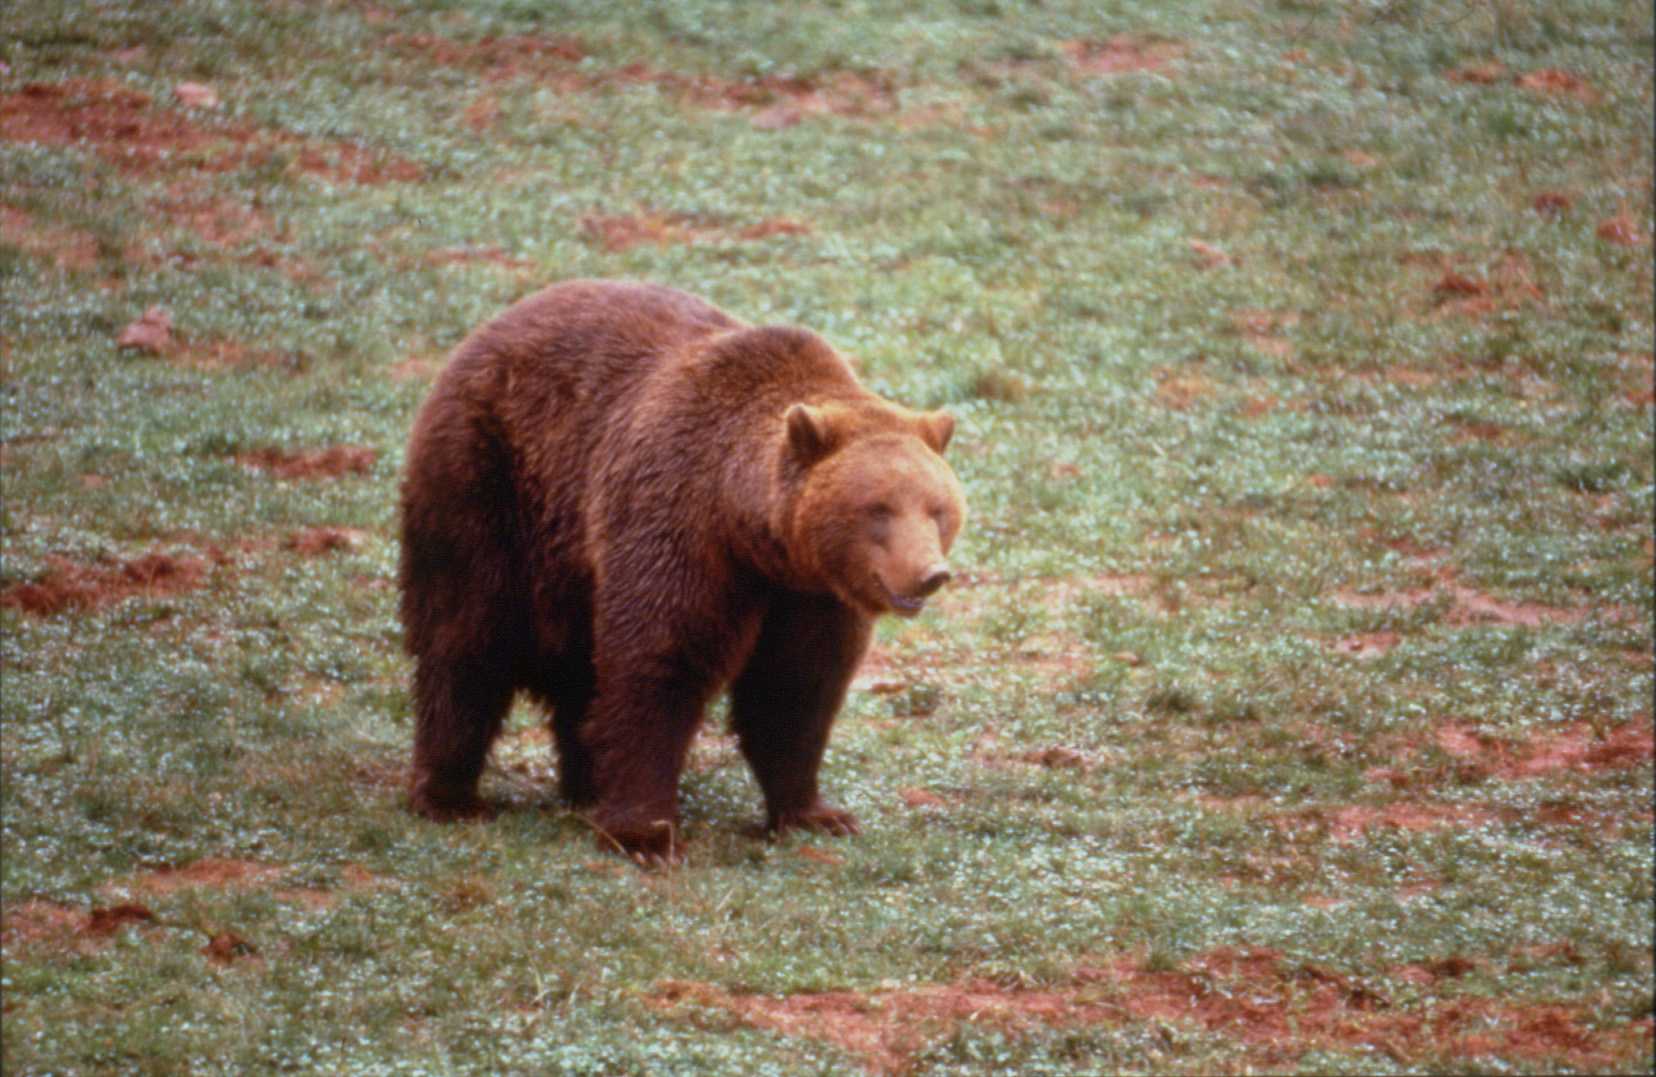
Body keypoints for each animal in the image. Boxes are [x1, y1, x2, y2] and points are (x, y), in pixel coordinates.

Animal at [399, 279, 965, 861]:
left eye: (937, 508)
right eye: (879, 509)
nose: (930, 573)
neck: (752, 532)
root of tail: (490, 328)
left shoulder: (809, 593)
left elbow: (797, 686)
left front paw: (816, 814)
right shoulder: (681, 525)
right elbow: (659, 660)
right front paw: (644, 833)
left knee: (577, 670)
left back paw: (584, 784)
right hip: (487, 489)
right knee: (466, 638)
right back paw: (449, 795)